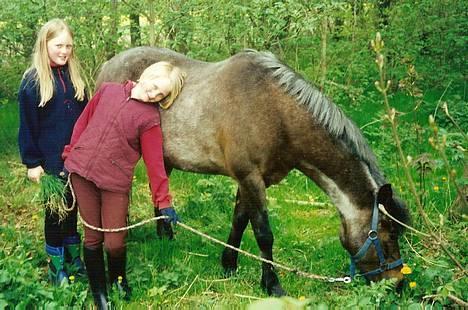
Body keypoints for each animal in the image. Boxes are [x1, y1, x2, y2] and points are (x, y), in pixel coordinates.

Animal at [96, 46, 410, 296]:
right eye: (388, 234)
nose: (399, 284)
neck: (276, 114)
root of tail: (109, 64)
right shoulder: (250, 177)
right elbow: (263, 233)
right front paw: (271, 284)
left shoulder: (253, 181)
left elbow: (239, 220)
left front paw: (229, 264)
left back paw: (166, 236)